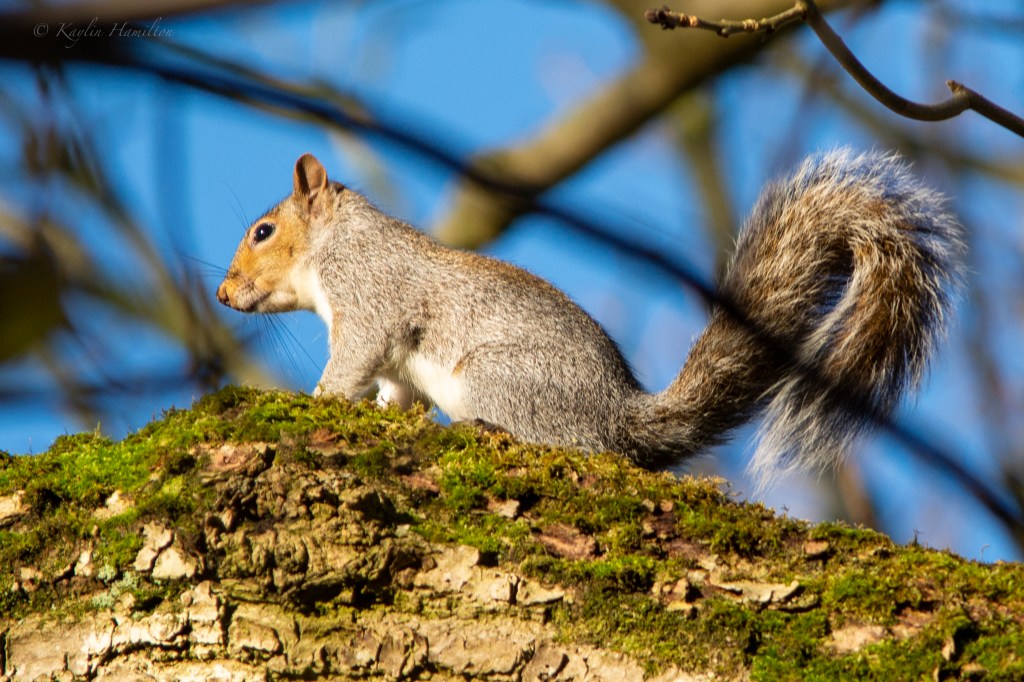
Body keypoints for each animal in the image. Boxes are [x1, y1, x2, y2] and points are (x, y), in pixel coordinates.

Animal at [217, 149, 965, 487]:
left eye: (262, 231)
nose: (223, 294)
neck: (337, 242)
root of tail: (619, 415)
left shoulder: (370, 298)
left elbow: (352, 362)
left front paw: (318, 400)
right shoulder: (398, 363)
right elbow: (394, 393)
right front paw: (380, 415)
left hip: (499, 378)